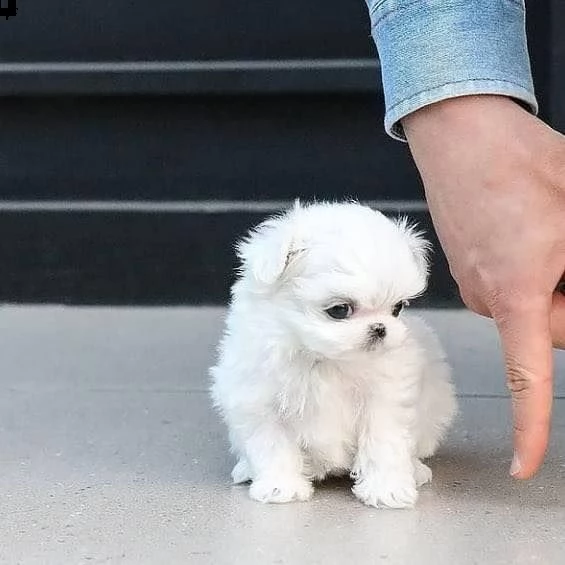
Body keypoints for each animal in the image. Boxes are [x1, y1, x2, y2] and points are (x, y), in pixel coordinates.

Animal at [209, 200, 456, 508]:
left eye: (397, 308)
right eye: (339, 310)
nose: (380, 329)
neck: (324, 359)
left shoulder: (384, 401)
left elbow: (384, 444)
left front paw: (386, 489)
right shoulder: (259, 402)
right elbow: (273, 445)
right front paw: (281, 487)